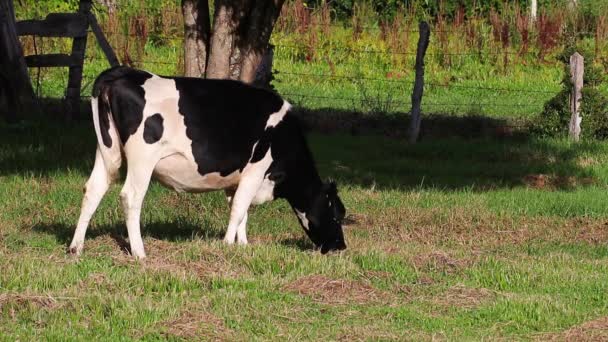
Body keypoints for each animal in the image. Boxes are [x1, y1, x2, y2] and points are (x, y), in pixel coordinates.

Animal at [70, 65, 346, 258]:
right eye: (338, 214)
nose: (341, 246)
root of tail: (123, 72)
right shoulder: (256, 171)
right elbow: (239, 209)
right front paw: (227, 244)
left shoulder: (237, 179)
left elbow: (241, 210)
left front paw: (242, 245)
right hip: (142, 159)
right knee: (130, 197)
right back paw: (139, 252)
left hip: (106, 150)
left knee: (93, 190)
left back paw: (76, 247)